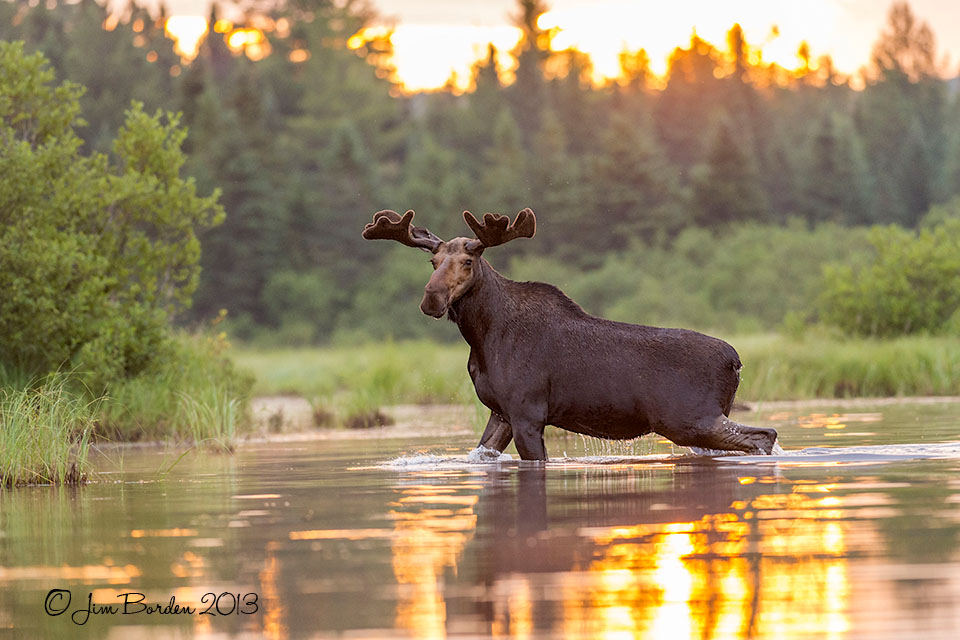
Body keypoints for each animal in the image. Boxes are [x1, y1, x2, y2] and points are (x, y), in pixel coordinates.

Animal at [362, 208, 778, 460]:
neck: (481, 337)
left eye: (467, 261)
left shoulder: (528, 413)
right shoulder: (501, 413)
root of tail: (736, 362)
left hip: (689, 418)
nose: (431, 299)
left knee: (765, 436)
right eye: (433, 261)